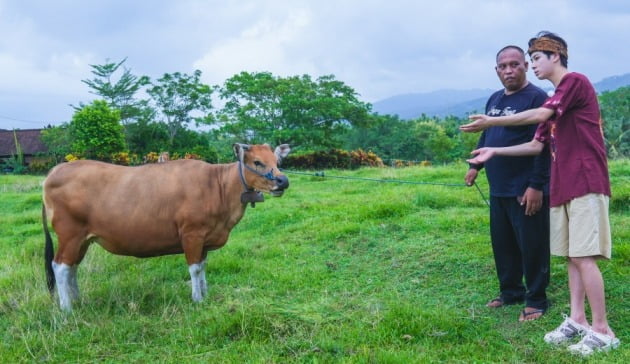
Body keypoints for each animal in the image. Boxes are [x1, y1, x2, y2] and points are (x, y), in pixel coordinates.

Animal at [42, 144, 292, 312]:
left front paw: (205, 293)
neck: (217, 184)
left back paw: (77, 300)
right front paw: (197, 298)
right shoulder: (192, 234)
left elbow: (203, 267)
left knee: (72, 268)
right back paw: (67, 308)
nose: (283, 181)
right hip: (70, 235)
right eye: (257, 162)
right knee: (60, 267)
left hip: (83, 239)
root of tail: (54, 172)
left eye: (277, 161)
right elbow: (195, 269)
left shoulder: (205, 239)